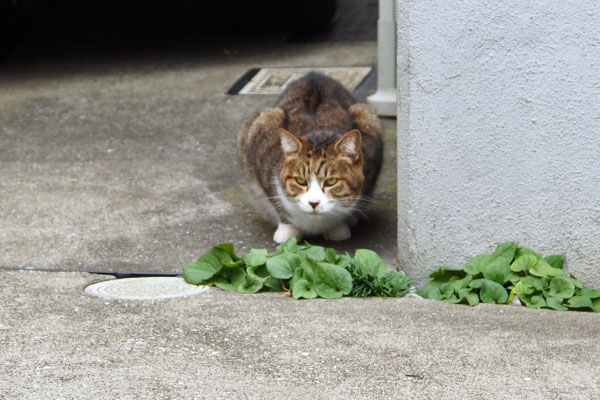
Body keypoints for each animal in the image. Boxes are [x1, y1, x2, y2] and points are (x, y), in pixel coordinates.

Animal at [237, 71, 382, 244]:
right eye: (300, 180)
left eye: (331, 181)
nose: (313, 203)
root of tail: (313, 74)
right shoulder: (260, 140)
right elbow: (277, 203)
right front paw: (287, 229)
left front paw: (338, 226)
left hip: (367, 114)